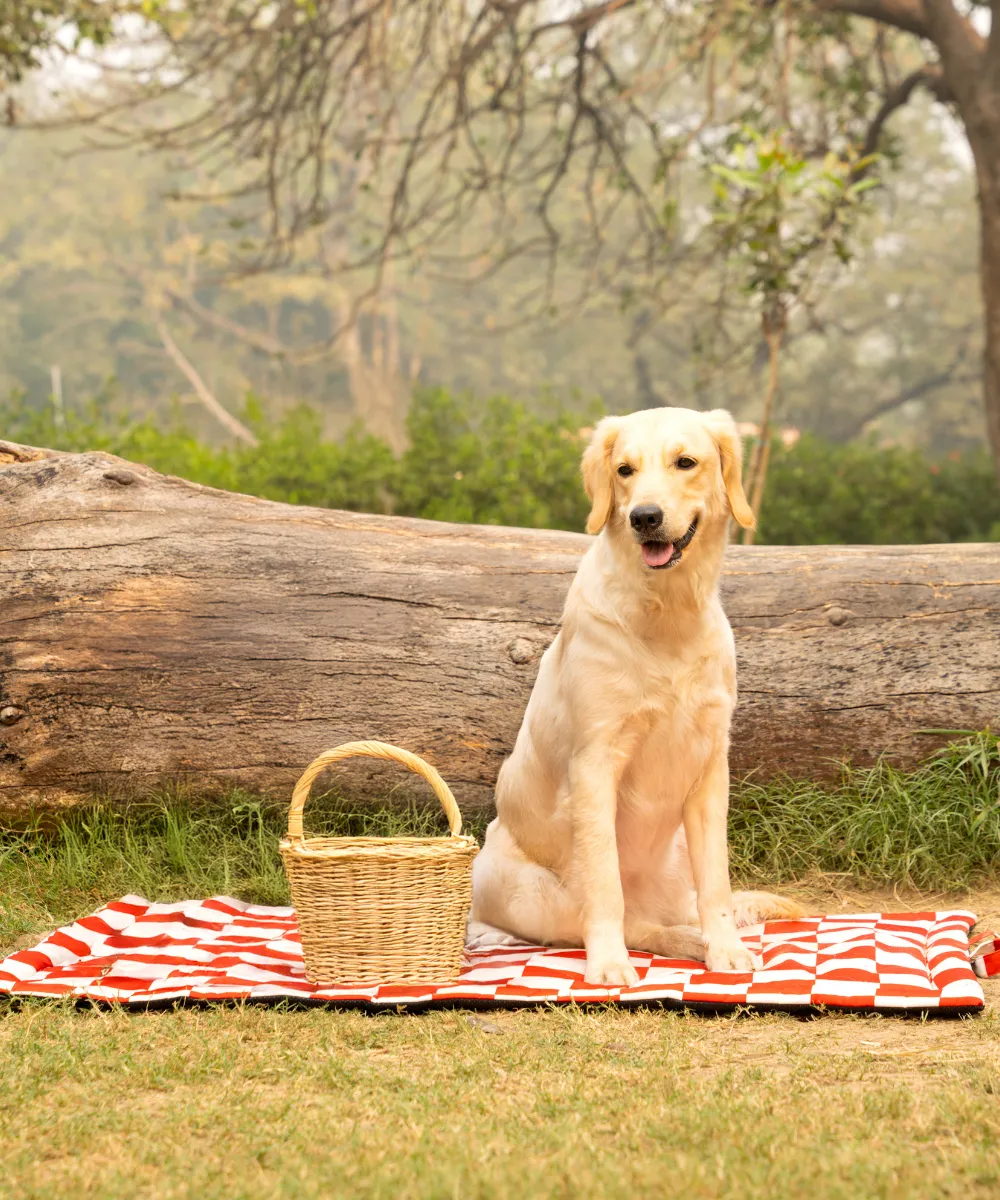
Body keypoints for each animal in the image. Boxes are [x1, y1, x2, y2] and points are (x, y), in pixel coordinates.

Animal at [468, 403, 801, 984]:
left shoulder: (710, 764)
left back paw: (695, 936)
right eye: (624, 470)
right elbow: (605, 887)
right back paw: (670, 941)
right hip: (523, 886)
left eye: (685, 462)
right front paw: (608, 965)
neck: (667, 614)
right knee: (624, 921)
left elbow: (718, 882)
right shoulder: (595, 762)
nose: (644, 516)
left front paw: (725, 948)